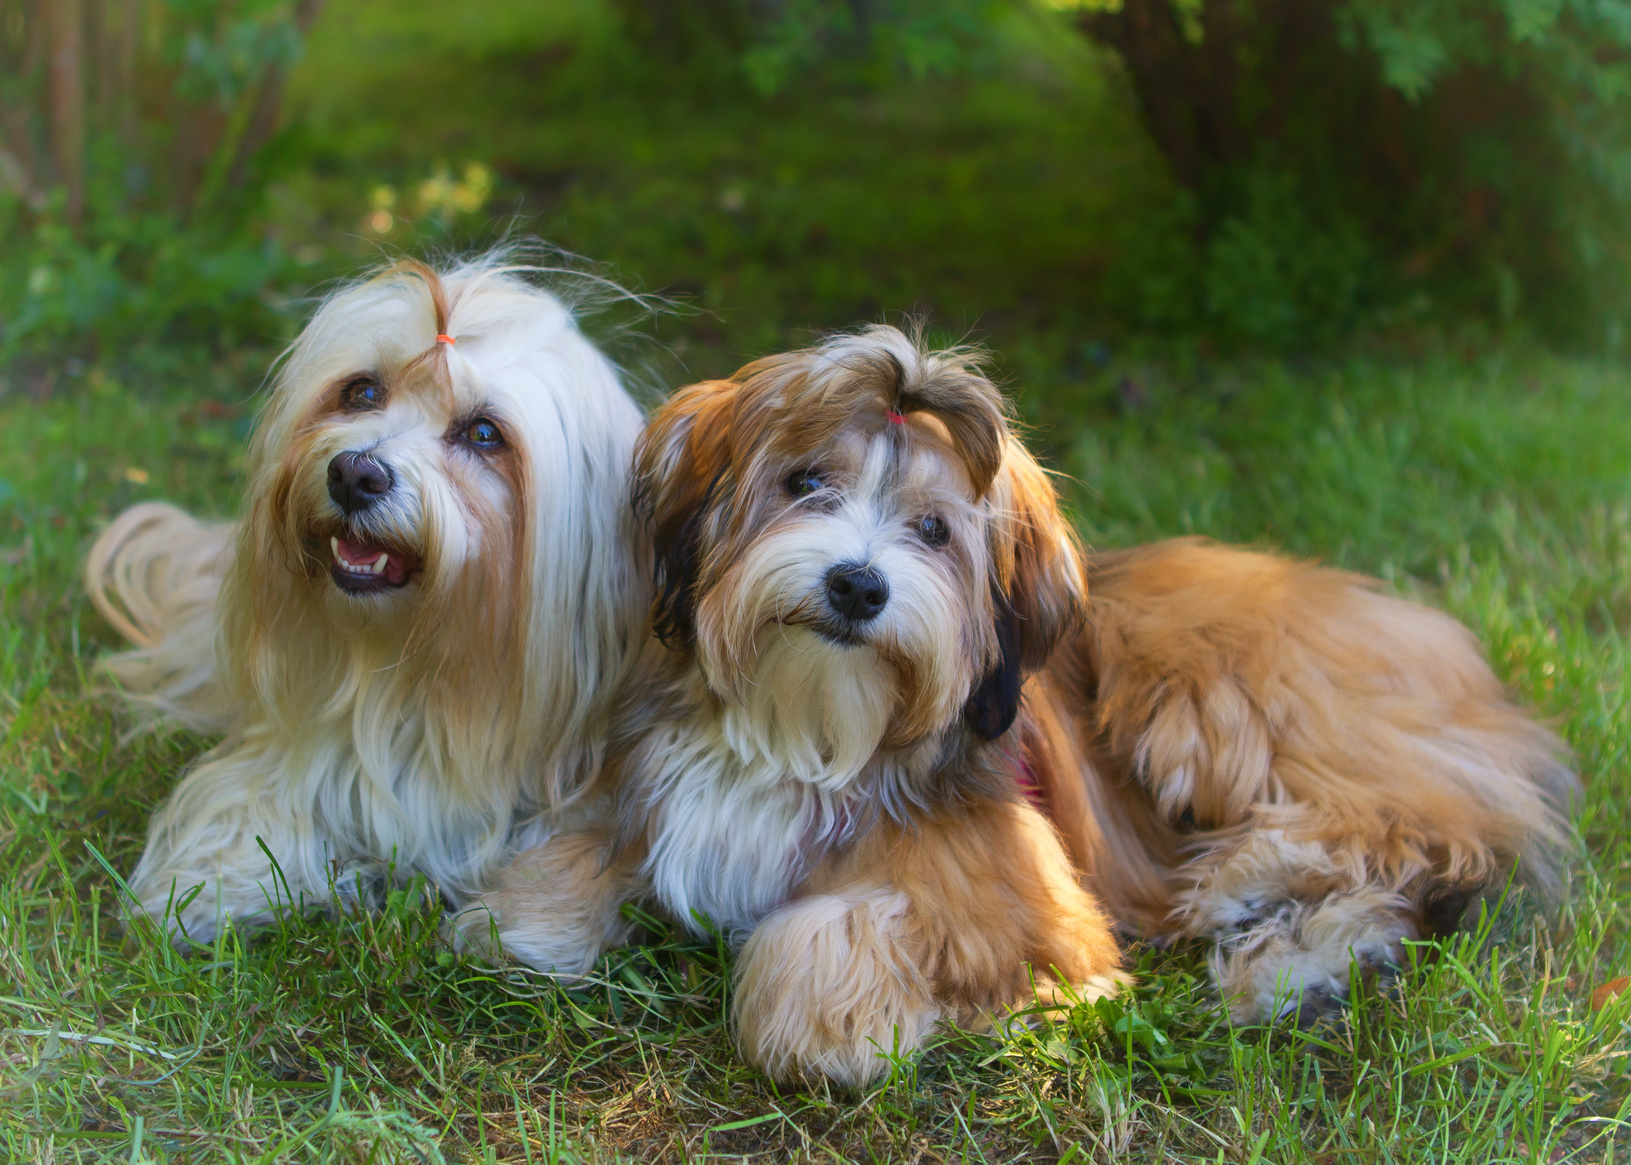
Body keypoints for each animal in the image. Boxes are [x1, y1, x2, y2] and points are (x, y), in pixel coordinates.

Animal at [86, 251, 649, 933]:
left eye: (485, 434)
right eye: (362, 392)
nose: (355, 474)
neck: (415, 680)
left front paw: (525, 921)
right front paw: (203, 886)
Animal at [453, 324, 1128, 1076]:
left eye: (933, 530)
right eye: (804, 483)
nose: (858, 586)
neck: (802, 736)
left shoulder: (1045, 922)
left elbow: (850, 919)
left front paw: (824, 1021)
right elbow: (590, 841)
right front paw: (522, 919)